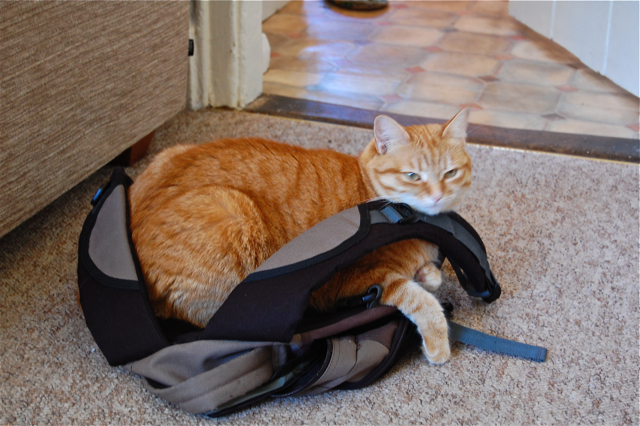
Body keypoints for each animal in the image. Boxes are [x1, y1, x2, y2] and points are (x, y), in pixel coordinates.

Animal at [129, 109, 472, 364]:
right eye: (412, 176)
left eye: (450, 173)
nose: (438, 196)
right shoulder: (362, 278)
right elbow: (419, 298)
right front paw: (438, 342)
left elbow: (432, 276)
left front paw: (428, 272)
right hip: (233, 216)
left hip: (170, 154)